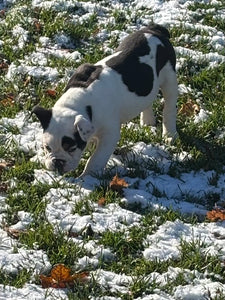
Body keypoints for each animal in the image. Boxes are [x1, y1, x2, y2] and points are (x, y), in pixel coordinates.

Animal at [32, 24, 178, 177]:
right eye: (47, 147)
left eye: (71, 148)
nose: (57, 162)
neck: (78, 104)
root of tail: (153, 29)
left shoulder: (109, 134)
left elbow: (96, 158)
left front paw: (87, 177)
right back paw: (147, 122)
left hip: (169, 78)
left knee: (169, 107)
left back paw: (169, 135)